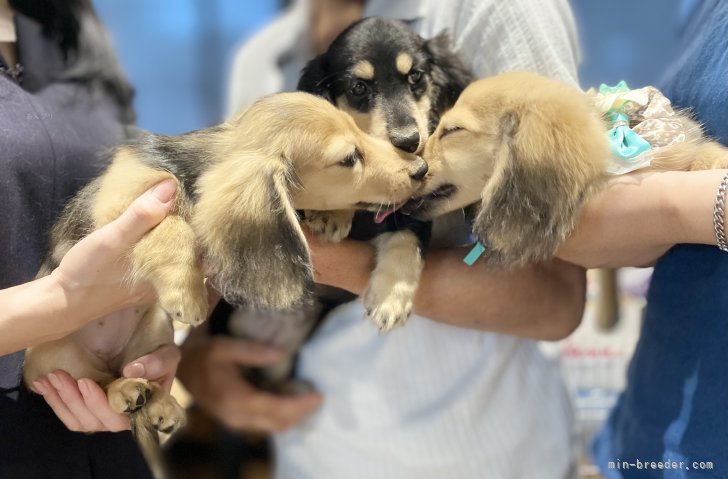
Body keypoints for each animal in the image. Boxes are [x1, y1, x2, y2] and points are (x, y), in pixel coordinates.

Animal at [22, 92, 424, 478]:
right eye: (349, 158)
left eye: (360, 130)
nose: (421, 169)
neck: (191, 172)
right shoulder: (123, 205)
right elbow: (173, 225)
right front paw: (187, 294)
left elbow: (401, 238)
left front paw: (387, 287)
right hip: (62, 360)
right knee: (100, 382)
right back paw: (126, 391)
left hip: (152, 335)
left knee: (127, 374)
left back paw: (156, 402)